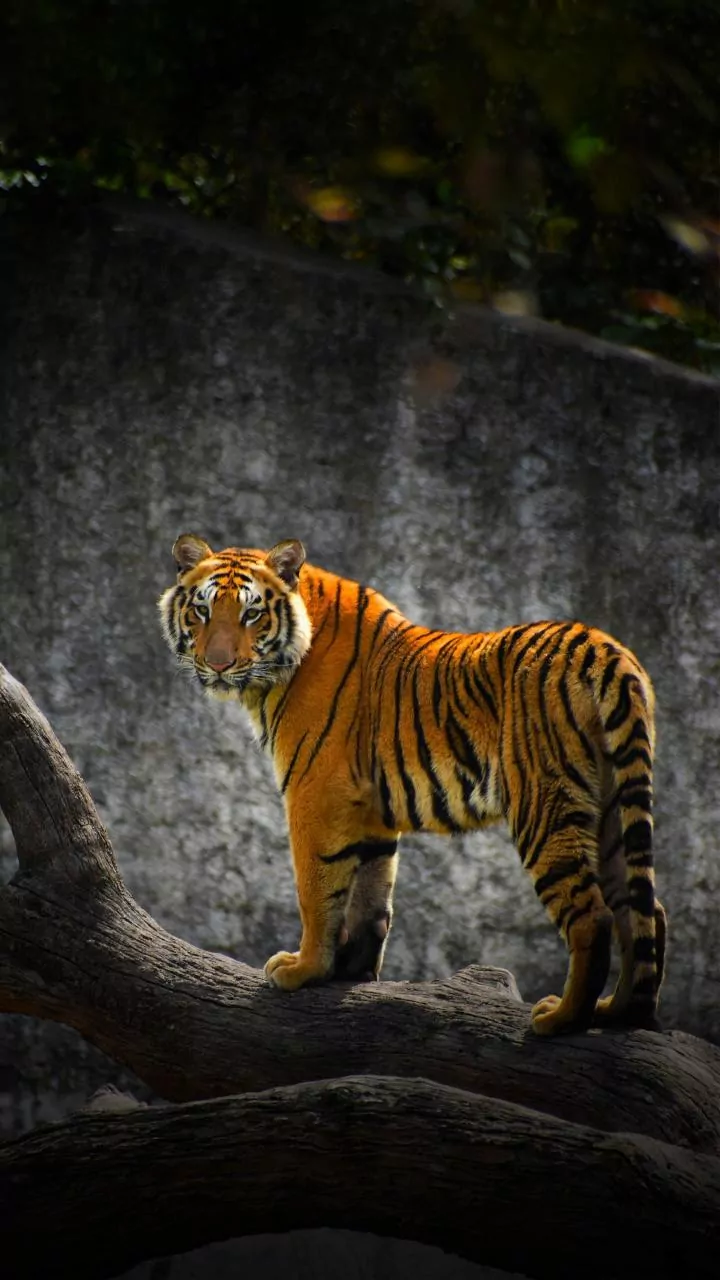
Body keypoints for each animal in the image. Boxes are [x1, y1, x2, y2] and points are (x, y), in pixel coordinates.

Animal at [158, 533, 666, 1036]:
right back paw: (619, 1012)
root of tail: (605, 649)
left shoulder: (315, 792)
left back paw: (560, 1019)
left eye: (251, 613)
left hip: (545, 805)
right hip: (612, 807)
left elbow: (317, 889)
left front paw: (304, 970)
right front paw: (352, 973)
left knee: (593, 917)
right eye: (202, 610)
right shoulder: (369, 809)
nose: (218, 664)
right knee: (644, 911)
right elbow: (371, 895)